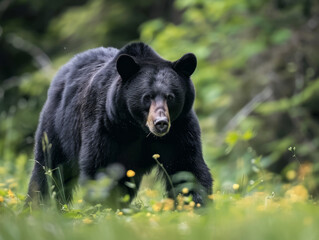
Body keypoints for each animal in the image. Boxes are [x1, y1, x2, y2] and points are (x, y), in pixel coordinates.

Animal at [26, 42, 212, 207]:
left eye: (170, 97)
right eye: (147, 97)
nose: (161, 123)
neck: (139, 129)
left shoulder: (180, 128)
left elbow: (186, 167)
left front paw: (194, 204)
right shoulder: (106, 126)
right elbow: (101, 169)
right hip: (58, 126)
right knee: (49, 170)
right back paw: (38, 206)